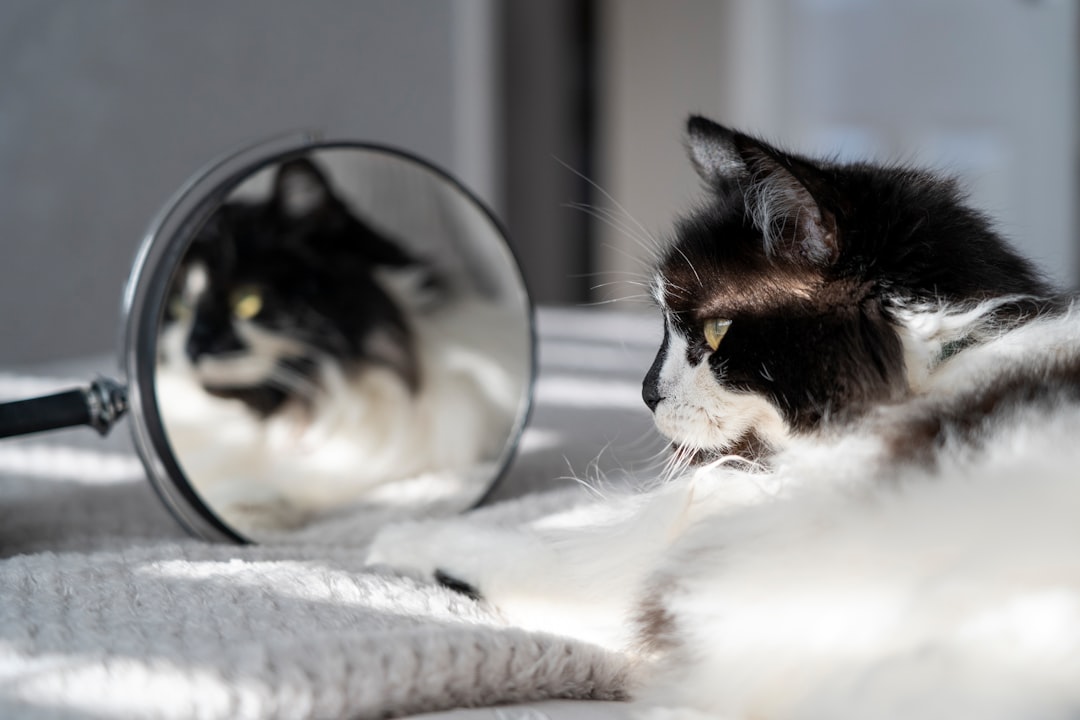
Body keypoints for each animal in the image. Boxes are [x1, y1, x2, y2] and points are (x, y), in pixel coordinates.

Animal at [369, 115, 1080, 716]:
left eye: (714, 334)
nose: (646, 392)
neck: (938, 372)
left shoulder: (673, 583)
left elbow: (520, 549)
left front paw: (390, 541)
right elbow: (566, 519)